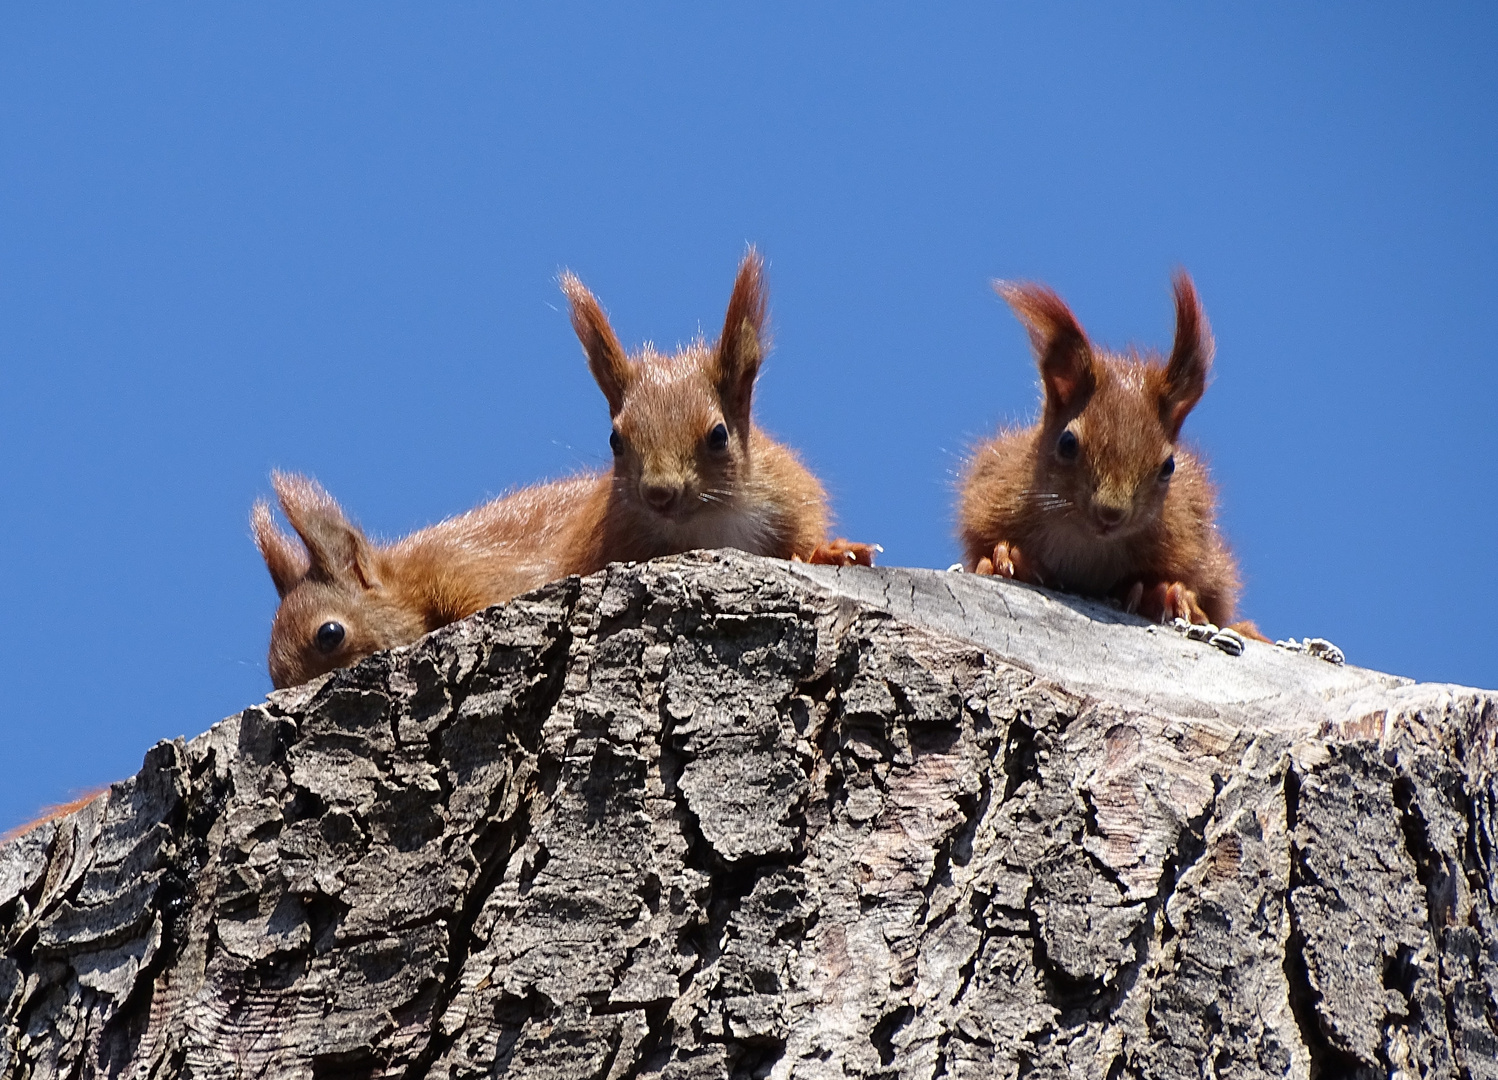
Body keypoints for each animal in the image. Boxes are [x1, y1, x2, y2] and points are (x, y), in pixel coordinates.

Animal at [551, 250, 874, 578]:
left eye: (719, 435)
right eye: (615, 441)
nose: (659, 493)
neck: (710, 521)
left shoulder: (790, 497)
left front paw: (833, 553)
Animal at [952, 274, 1258, 635]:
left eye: (1168, 466)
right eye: (1067, 443)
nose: (1111, 513)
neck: (1087, 542)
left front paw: (1164, 592)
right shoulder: (992, 491)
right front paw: (1009, 559)